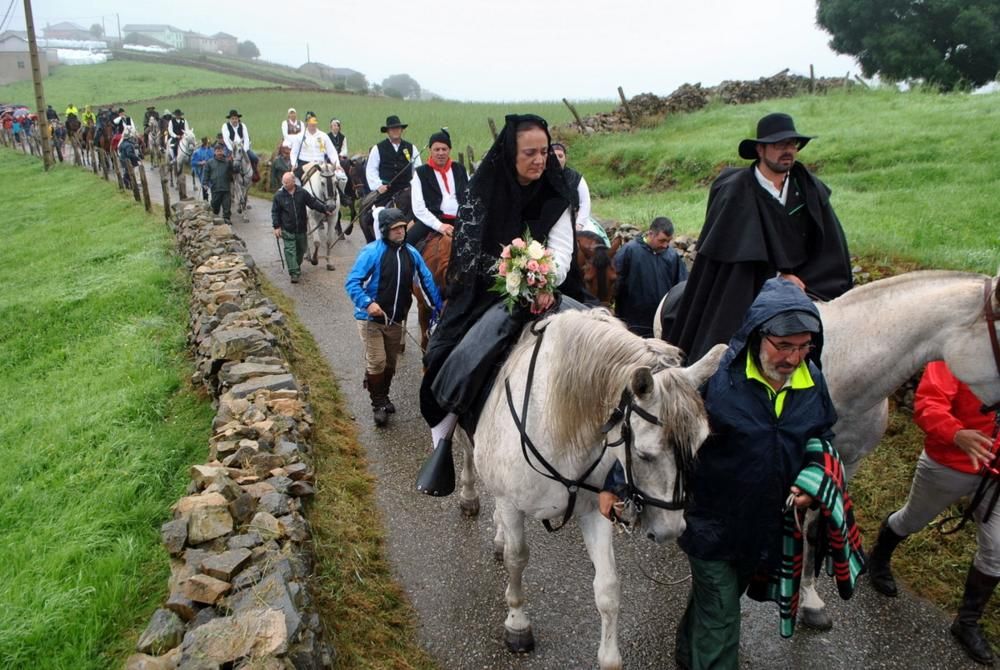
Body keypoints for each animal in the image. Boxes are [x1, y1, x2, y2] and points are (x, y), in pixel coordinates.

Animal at [464, 312, 724, 670]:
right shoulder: (511, 503)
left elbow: (608, 587)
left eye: (698, 447)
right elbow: (517, 560)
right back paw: (468, 496)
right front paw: (517, 624)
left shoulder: (594, 512)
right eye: (644, 454)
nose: (670, 532)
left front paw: (609, 657)